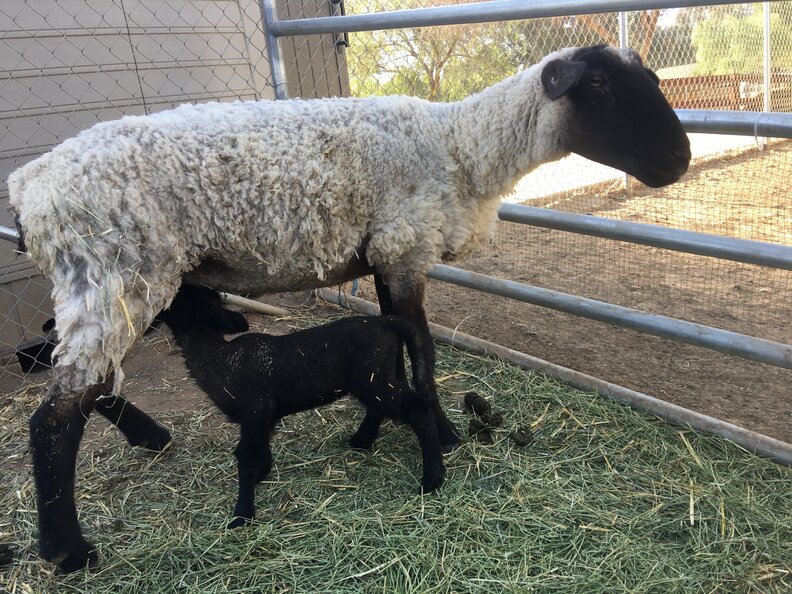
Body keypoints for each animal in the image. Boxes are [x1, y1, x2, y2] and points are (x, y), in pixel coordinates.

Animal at [158, 284, 446, 528]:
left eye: (174, 300)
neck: (219, 359)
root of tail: (384, 320)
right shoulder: (265, 414)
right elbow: (260, 448)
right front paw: (261, 475)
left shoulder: (256, 408)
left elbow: (245, 455)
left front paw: (242, 514)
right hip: (380, 375)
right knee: (382, 408)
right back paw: (361, 441)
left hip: (373, 378)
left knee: (418, 410)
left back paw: (432, 478)